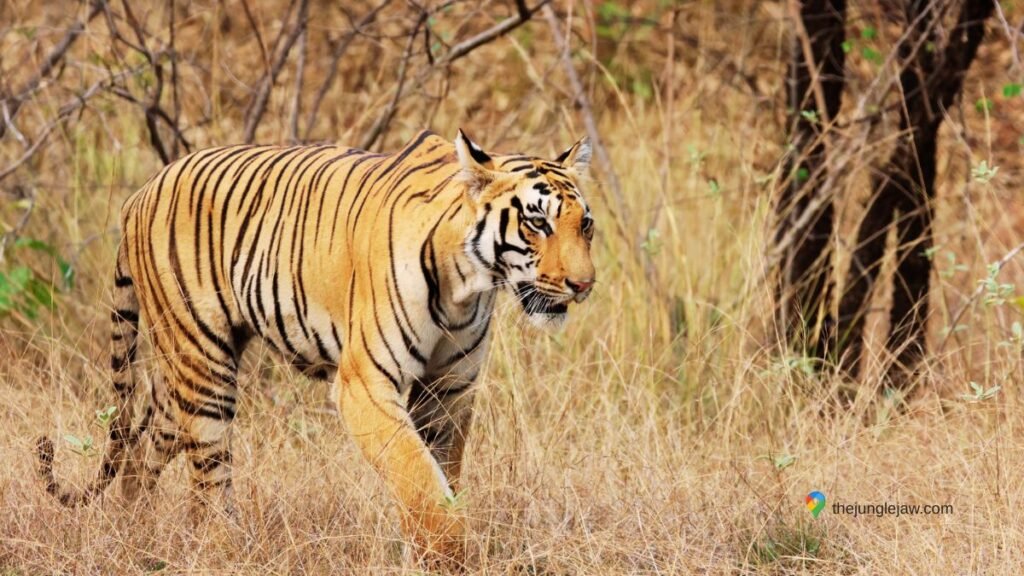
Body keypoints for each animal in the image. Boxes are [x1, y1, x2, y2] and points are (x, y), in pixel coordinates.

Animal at [35, 128, 596, 562]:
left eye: (584, 224)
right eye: (537, 222)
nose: (583, 285)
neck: (470, 283)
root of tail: (140, 192)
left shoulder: (450, 390)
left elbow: (442, 475)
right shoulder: (365, 385)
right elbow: (418, 478)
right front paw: (449, 555)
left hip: (179, 379)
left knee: (142, 449)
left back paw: (134, 530)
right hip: (203, 363)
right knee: (208, 479)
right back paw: (226, 549)